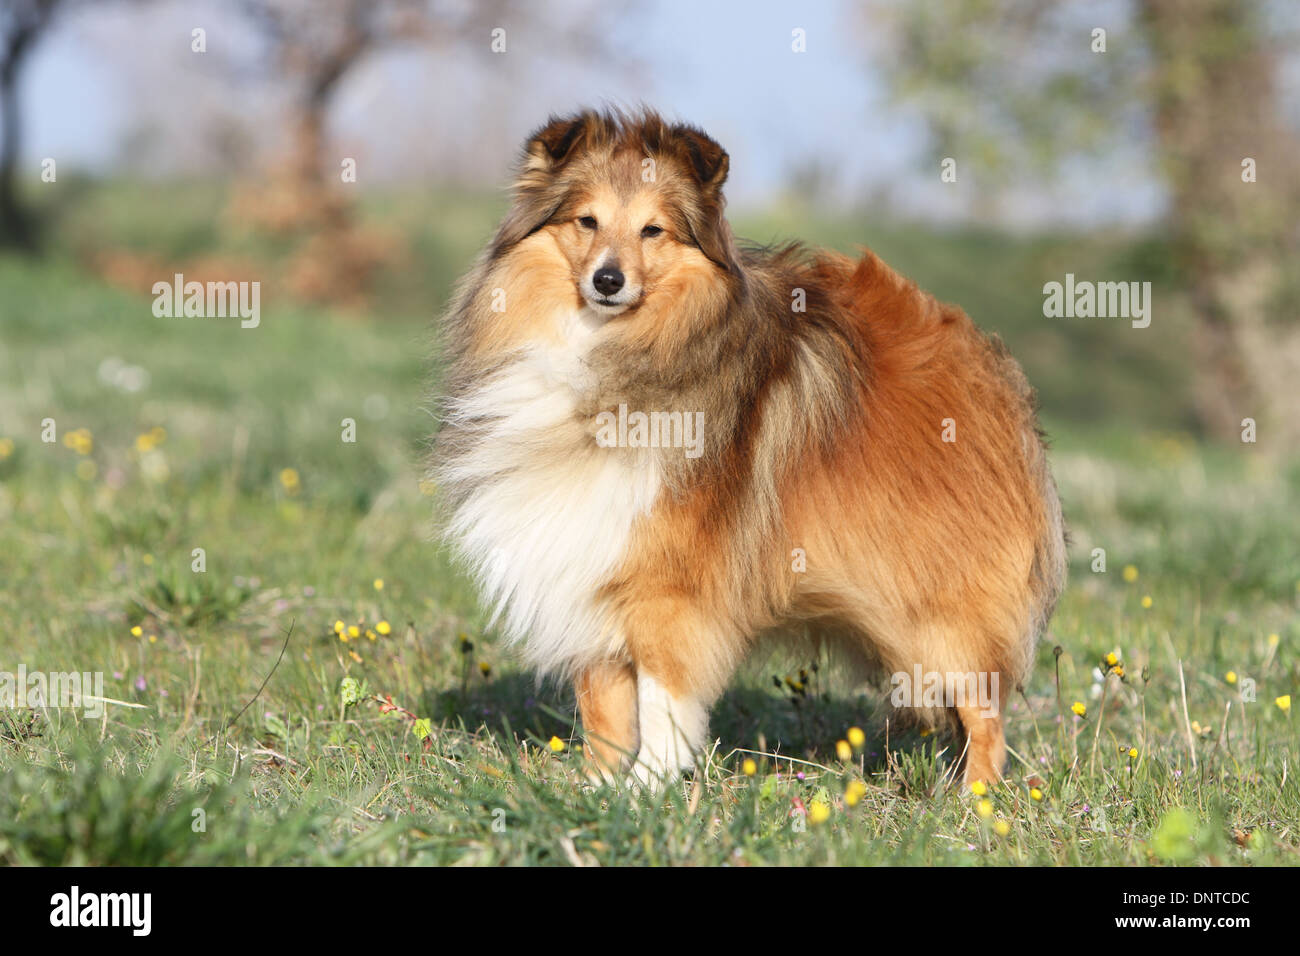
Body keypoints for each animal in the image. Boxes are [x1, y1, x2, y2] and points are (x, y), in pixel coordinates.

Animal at [436, 108, 1066, 790]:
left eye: (653, 230)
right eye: (587, 221)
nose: (608, 280)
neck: (611, 355)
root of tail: (990, 367)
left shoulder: (669, 590)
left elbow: (662, 702)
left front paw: (647, 789)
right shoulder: (591, 566)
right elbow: (603, 709)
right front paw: (597, 792)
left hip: (937, 610)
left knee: (985, 711)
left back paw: (973, 800)